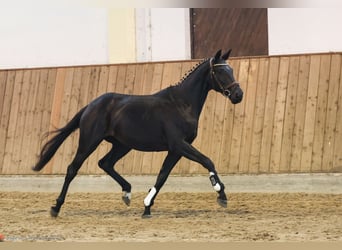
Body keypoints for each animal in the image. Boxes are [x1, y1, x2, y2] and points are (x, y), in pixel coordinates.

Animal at [32, 48, 243, 217]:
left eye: (231, 70)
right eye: (221, 71)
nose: (238, 95)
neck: (181, 104)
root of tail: (90, 105)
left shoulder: (176, 149)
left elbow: (162, 176)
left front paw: (147, 206)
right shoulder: (179, 144)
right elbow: (207, 161)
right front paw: (221, 193)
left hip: (122, 145)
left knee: (105, 163)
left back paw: (127, 192)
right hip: (89, 141)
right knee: (72, 169)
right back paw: (56, 208)